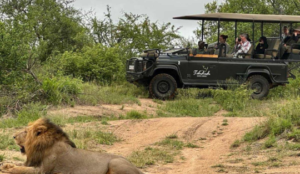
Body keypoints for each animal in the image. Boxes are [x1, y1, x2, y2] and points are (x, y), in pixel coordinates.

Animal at [0, 117, 143, 173]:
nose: (13, 136)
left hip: (115, 163)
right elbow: (20, 165)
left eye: (25, 131)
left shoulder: (42, 171)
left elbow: (21, 169)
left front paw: (8, 168)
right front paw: (6, 165)